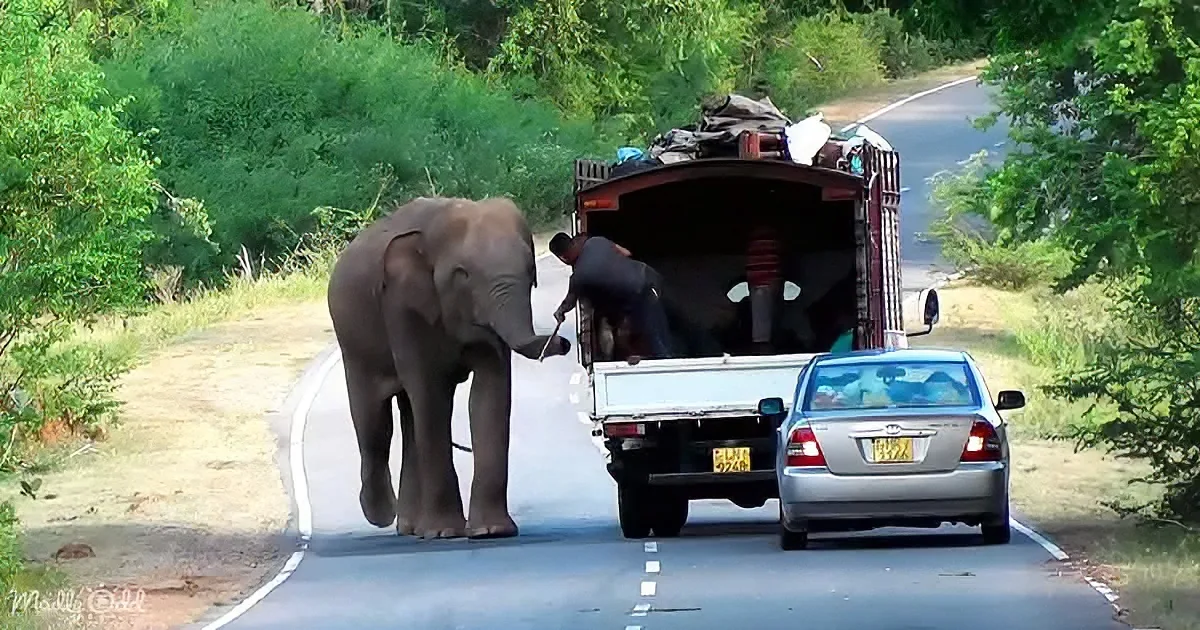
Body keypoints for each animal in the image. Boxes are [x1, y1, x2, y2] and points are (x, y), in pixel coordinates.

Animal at [325, 196, 572, 540]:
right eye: (462, 274)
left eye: (531, 270)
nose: (563, 340)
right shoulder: (402, 307)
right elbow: (432, 397)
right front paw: (445, 532)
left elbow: (489, 395)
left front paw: (491, 531)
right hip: (353, 342)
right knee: (375, 422)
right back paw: (381, 514)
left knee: (407, 415)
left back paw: (411, 527)